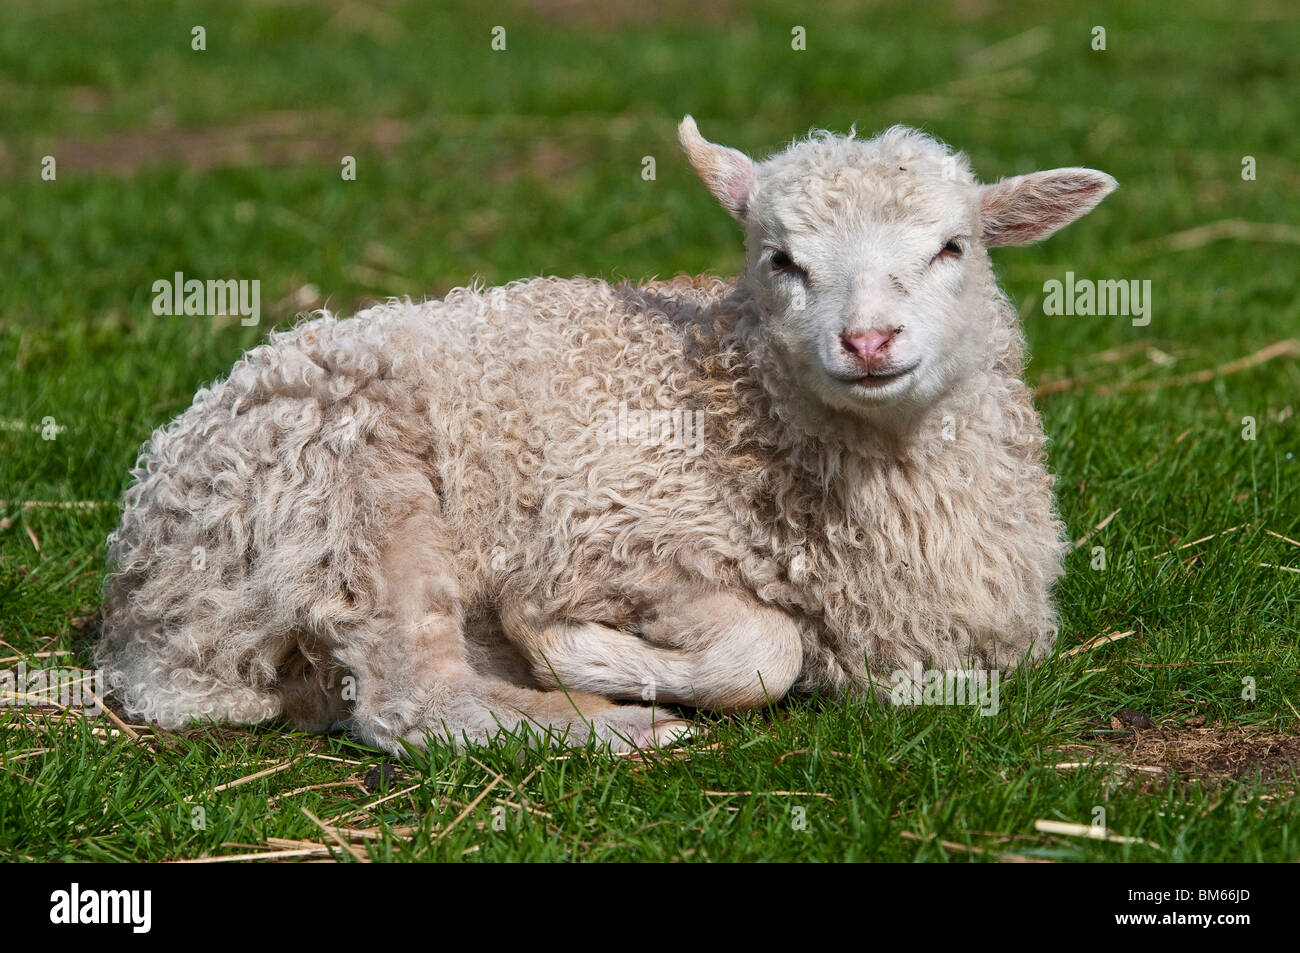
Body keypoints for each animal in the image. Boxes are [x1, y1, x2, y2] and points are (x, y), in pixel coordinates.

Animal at [98, 117, 1118, 748]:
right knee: (409, 701)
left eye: (953, 248)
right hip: (356, 494)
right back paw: (607, 723)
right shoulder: (605, 538)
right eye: (779, 260)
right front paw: (560, 645)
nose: (869, 341)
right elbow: (764, 653)